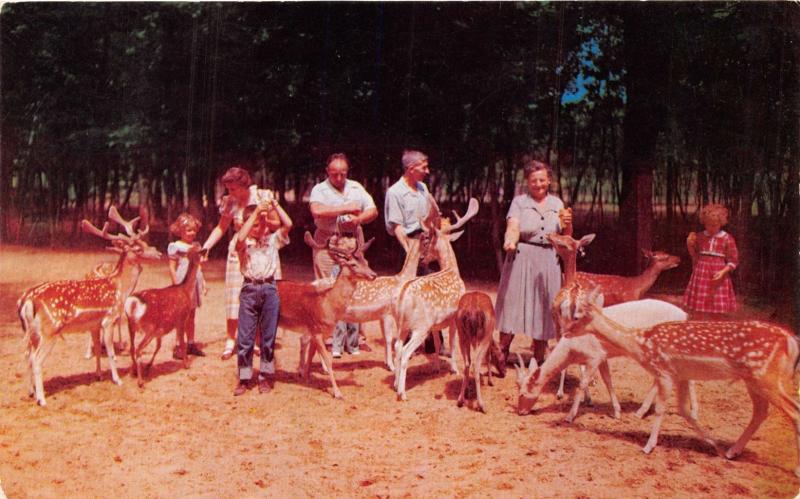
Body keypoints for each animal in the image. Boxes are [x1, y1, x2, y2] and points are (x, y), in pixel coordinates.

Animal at [17, 207, 161, 406]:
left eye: (145, 242)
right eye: (138, 248)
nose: (159, 253)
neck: (119, 288)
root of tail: (27, 300)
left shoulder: (94, 325)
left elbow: (98, 350)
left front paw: (99, 376)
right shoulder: (109, 319)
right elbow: (110, 352)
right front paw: (117, 380)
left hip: (32, 332)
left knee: (27, 356)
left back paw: (30, 392)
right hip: (49, 330)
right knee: (37, 360)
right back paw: (42, 400)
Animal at [123, 244, 206, 388]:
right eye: (197, 249)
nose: (199, 244)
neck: (185, 290)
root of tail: (132, 303)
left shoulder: (160, 330)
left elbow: (159, 346)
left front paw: (148, 367)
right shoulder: (181, 319)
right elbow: (182, 343)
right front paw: (186, 364)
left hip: (131, 325)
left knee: (132, 347)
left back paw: (133, 371)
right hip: (148, 328)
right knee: (138, 348)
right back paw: (140, 381)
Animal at [278, 229, 378, 398]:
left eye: (367, 261)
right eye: (353, 264)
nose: (373, 275)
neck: (328, 305)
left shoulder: (318, 332)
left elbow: (312, 355)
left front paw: (305, 376)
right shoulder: (317, 331)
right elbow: (329, 360)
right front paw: (337, 393)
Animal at [390, 197, 478, 400]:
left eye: (427, 241)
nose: (422, 259)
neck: (452, 270)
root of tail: (403, 296)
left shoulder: (436, 323)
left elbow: (438, 343)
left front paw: (437, 367)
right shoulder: (454, 317)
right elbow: (452, 343)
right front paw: (454, 369)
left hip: (402, 325)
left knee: (397, 347)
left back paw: (395, 383)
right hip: (419, 327)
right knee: (405, 352)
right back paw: (402, 393)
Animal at [564, 288, 800, 478]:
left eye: (576, 316)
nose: (565, 333)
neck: (641, 344)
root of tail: (790, 341)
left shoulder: (664, 372)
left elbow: (661, 410)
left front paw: (648, 446)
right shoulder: (681, 376)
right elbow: (684, 411)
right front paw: (714, 446)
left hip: (767, 377)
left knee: (793, 411)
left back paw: (794, 469)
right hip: (754, 381)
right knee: (761, 412)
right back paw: (732, 451)